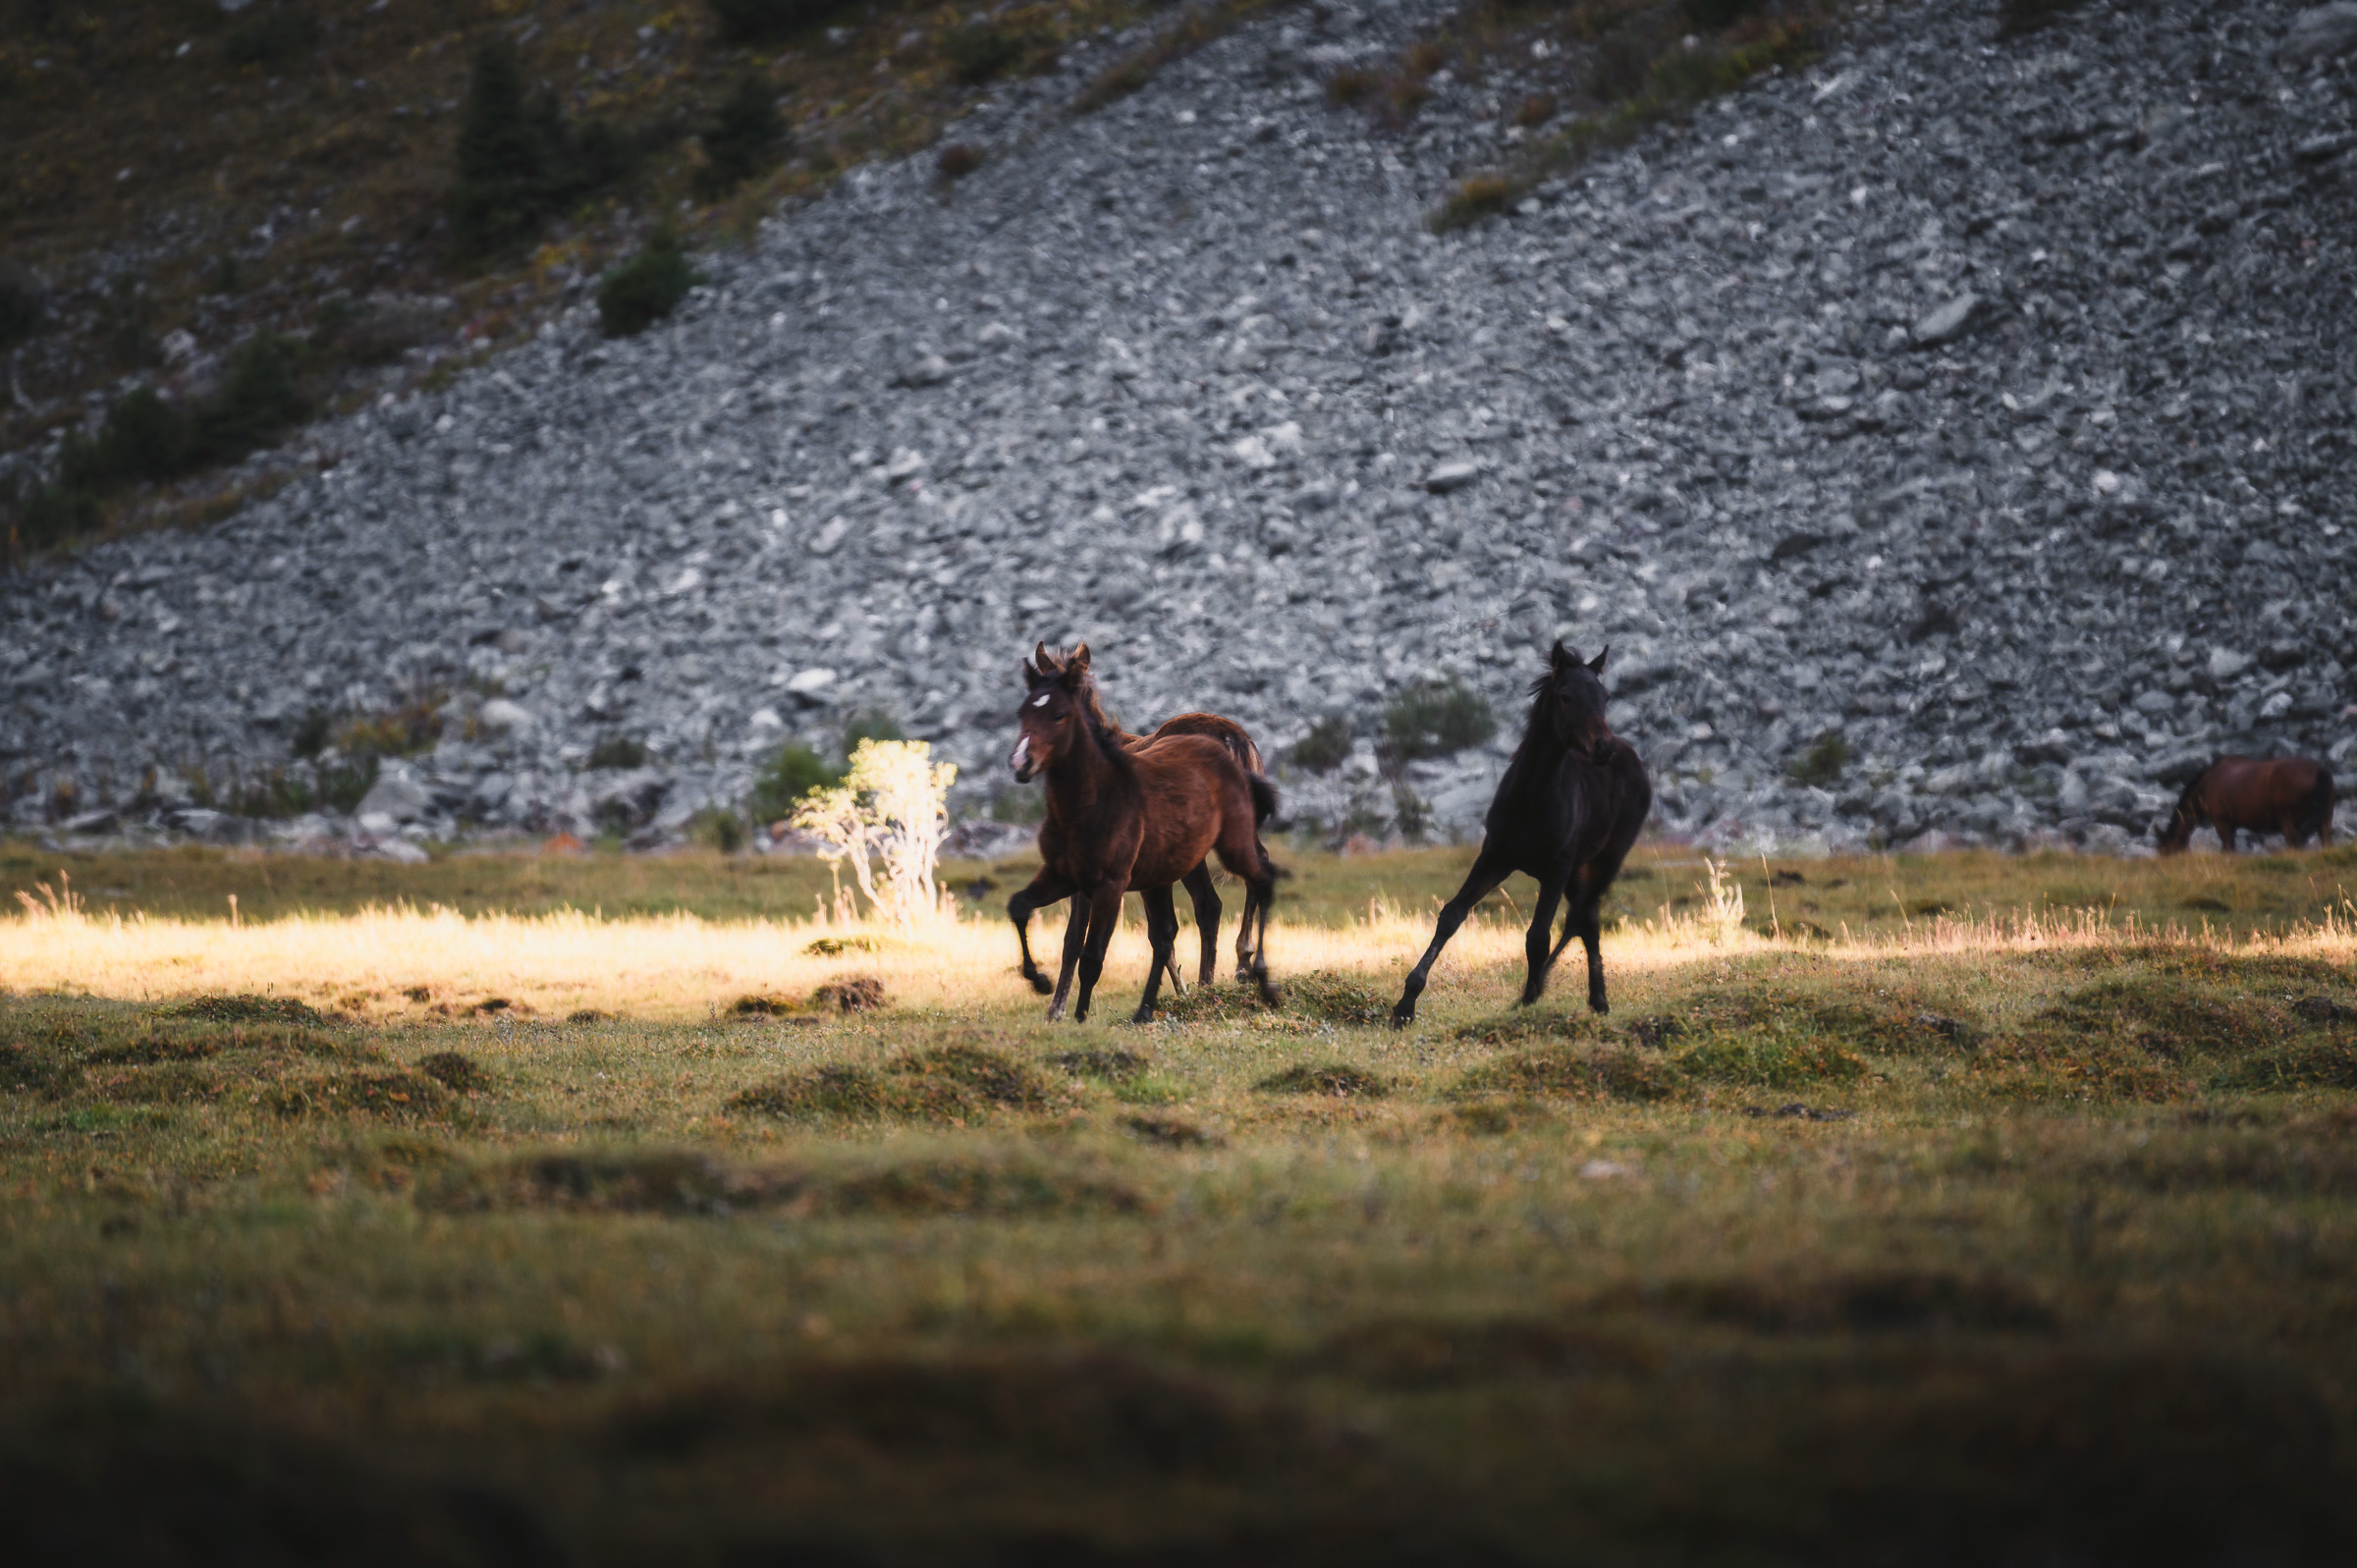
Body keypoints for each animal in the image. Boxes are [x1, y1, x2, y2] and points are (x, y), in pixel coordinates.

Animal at [1006, 651, 1279, 1024]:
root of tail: (1233, 739)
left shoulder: (1093, 880)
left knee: (1211, 901)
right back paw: (1232, 967)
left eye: (1058, 713)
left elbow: (1074, 939)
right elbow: (1159, 932)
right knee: (1238, 884)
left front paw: (1057, 1008)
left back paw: (1214, 978)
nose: (1022, 760)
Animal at [1391, 641, 1651, 1028]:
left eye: (1605, 696)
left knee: (1580, 916)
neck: (1531, 799)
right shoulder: (1495, 856)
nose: (1603, 747)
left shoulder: (1557, 867)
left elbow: (1537, 936)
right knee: (1588, 920)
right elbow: (1451, 915)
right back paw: (1597, 1000)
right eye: (1565, 696)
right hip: (1577, 869)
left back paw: (1560, 991)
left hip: (1607, 857)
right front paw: (1405, 1004)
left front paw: (1528, 1001)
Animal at [2157, 756, 2336, 853]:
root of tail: (2320, 771)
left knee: (2293, 840)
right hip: (2325, 815)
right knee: (2325, 837)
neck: (2206, 785)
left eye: (2165, 849)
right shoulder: (2231, 825)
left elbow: (2228, 848)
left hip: (2288, 817)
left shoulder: (2222, 821)